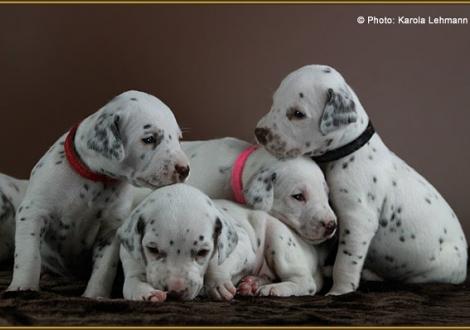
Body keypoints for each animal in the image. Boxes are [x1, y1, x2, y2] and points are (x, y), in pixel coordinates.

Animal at [5, 89, 189, 298]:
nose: (185, 169)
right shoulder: (33, 212)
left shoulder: (111, 230)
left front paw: (95, 295)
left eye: (178, 138)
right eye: (149, 139)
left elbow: (104, 269)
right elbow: (29, 255)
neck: (95, 180)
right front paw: (23, 286)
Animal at [117, 183, 326, 302]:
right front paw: (147, 293)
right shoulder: (131, 262)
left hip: (279, 240)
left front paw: (217, 284)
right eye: (152, 249)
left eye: (202, 252)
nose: (176, 292)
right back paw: (252, 284)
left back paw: (274, 289)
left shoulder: (242, 246)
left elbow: (217, 263)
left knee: (305, 282)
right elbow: (130, 284)